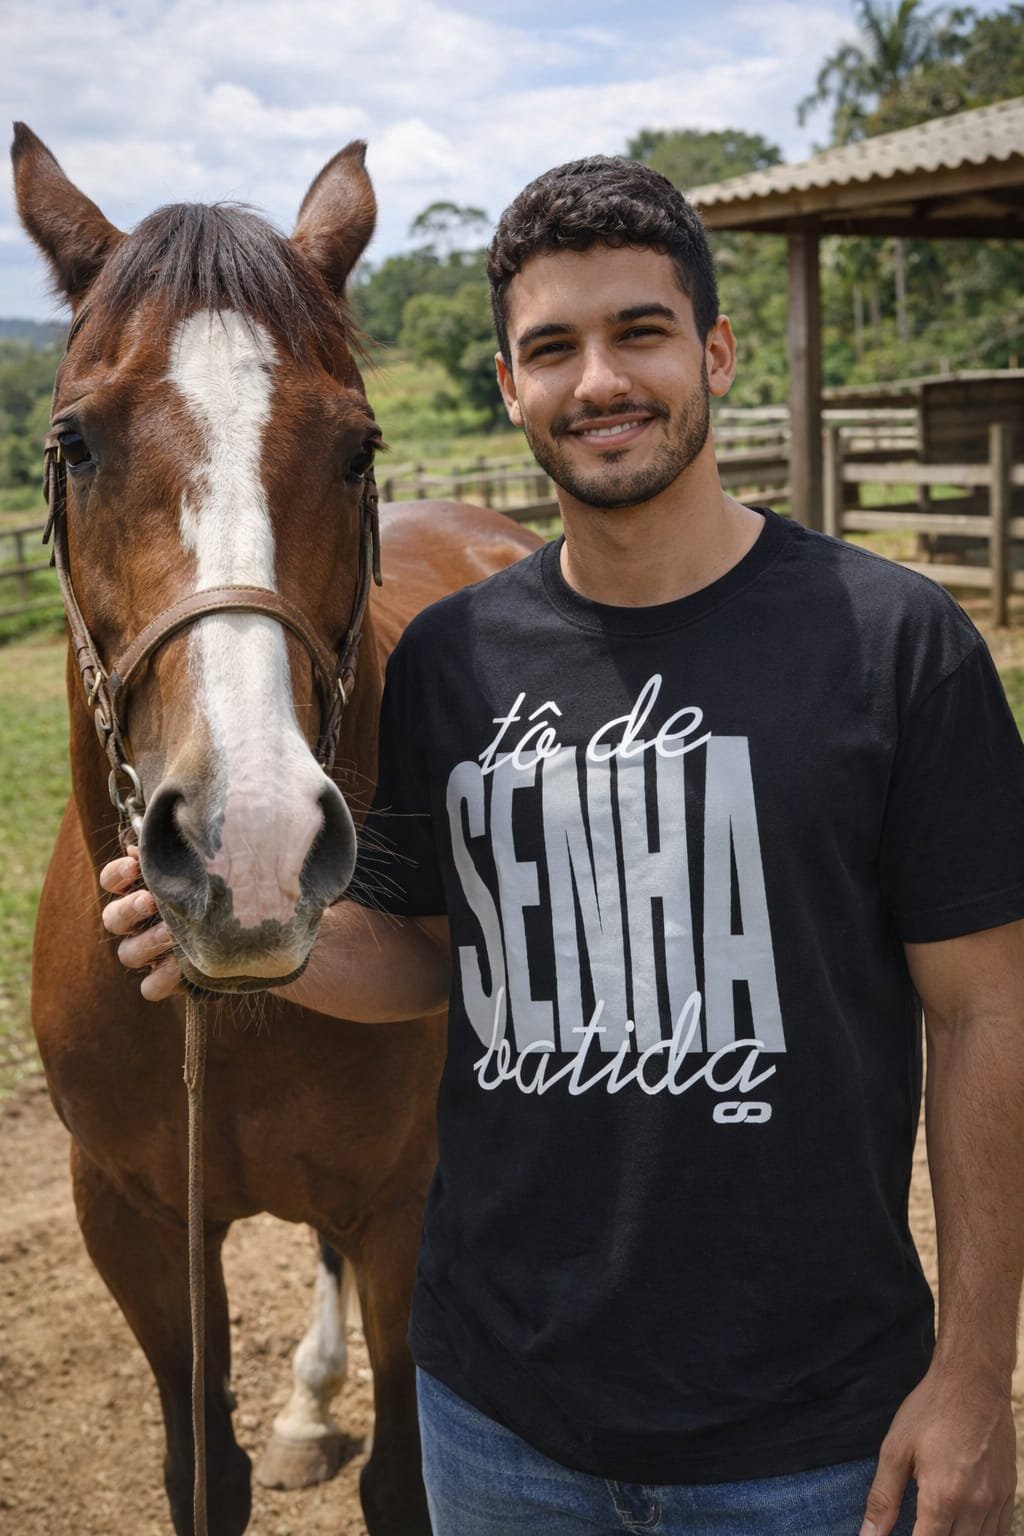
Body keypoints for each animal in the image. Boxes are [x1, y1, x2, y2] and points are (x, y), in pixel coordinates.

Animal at [12, 122, 539, 1536]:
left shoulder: (410, 1210)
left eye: (357, 447)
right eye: (75, 443)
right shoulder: (135, 1224)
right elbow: (206, 1476)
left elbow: (412, 1482)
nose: (246, 847)